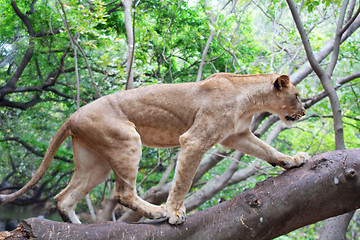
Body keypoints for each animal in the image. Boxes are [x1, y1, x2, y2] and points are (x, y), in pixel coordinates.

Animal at [0, 73, 306, 225]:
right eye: (298, 95)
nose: (304, 111)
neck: (250, 100)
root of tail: (72, 116)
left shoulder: (237, 136)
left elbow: (267, 150)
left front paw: (292, 160)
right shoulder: (195, 139)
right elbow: (183, 180)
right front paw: (173, 212)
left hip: (96, 164)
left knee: (64, 198)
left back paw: (77, 227)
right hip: (128, 141)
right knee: (122, 194)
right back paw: (157, 212)